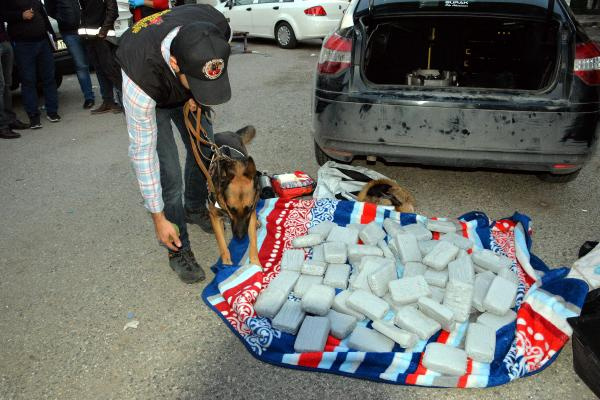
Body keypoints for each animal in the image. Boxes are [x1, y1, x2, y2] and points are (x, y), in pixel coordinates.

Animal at [209, 126, 260, 268]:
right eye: (231, 209)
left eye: (248, 208)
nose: (240, 237)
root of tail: (226, 132)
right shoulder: (214, 216)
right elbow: (221, 243)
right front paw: (226, 263)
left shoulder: (251, 210)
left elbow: (253, 240)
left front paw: (255, 263)